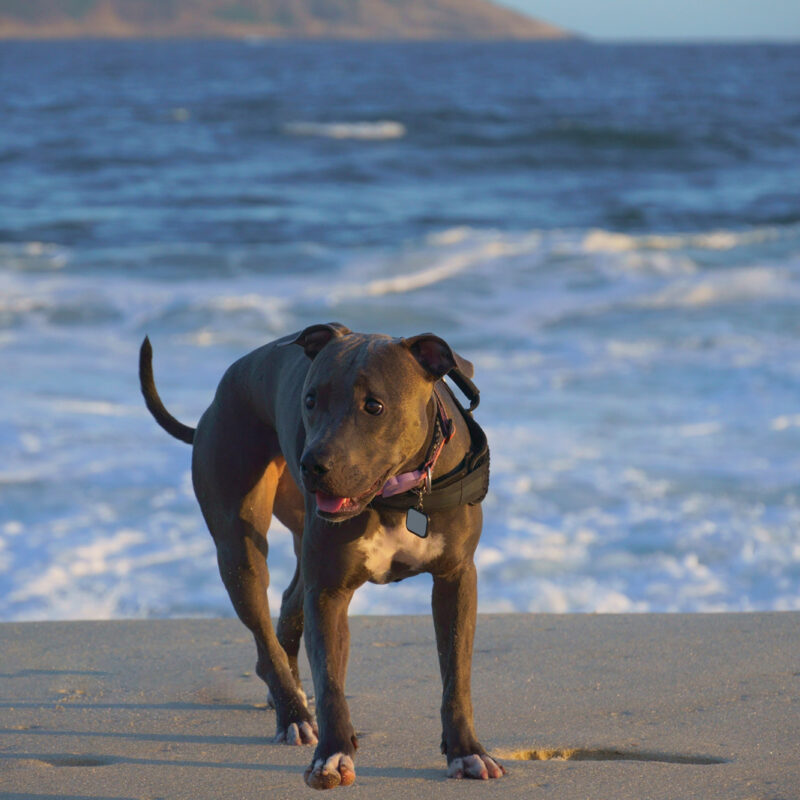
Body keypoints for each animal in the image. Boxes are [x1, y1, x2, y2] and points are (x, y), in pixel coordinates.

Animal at [140, 324, 504, 788]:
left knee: (289, 602)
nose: (311, 464)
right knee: (263, 628)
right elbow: (331, 681)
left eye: (374, 406)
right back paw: (293, 713)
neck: (399, 497)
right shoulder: (329, 591)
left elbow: (456, 675)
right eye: (310, 400)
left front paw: (467, 752)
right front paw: (332, 756)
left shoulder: (455, 579)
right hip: (239, 548)